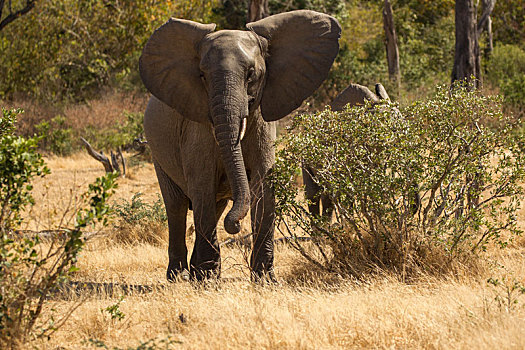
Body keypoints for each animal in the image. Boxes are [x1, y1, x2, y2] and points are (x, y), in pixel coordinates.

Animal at [138, 9, 340, 282]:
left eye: (251, 74)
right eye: (202, 76)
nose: (234, 226)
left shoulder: (264, 125)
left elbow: (262, 188)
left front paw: (264, 280)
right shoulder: (197, 128)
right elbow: (202, 184)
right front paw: (207, 280)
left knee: (214, 206)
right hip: (157, 152)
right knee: (177, 206)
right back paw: (179, 277)